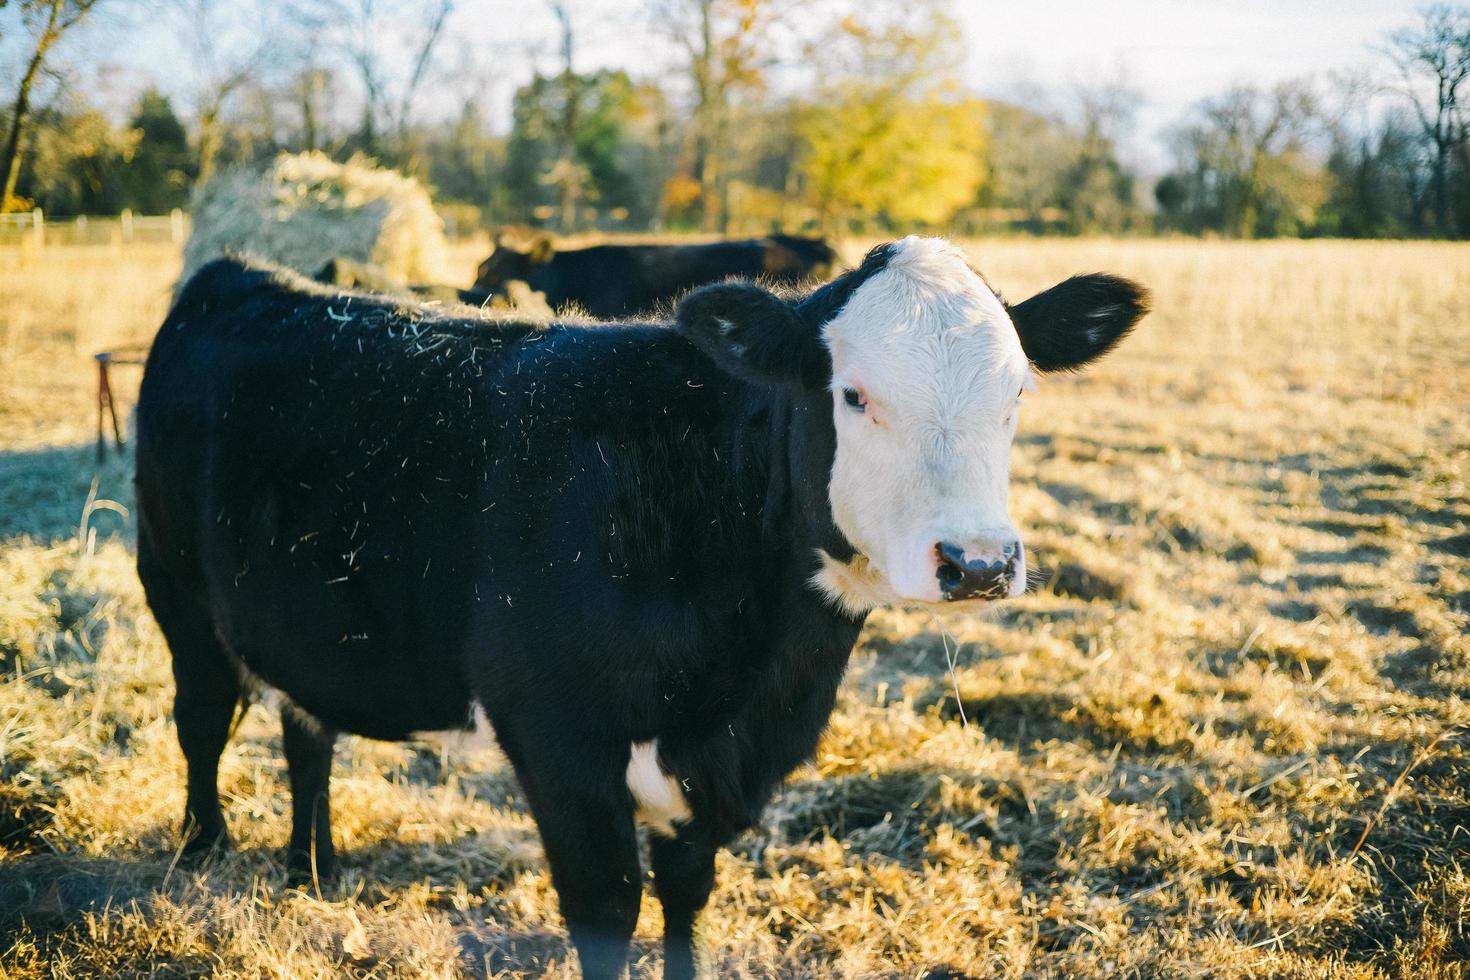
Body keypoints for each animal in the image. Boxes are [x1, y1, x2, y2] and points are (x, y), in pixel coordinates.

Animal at [135, 239, 1146, 980]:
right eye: (853, 396)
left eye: (1018, 395)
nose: (979, 563)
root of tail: (244, 274)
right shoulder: (560, 741)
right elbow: (608, 908)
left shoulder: (720, 762)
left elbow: (686, 896)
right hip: (176, 591)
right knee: (201, 722)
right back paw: (203, 853)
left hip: (304, 623)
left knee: (307, 733)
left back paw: (314, 867)